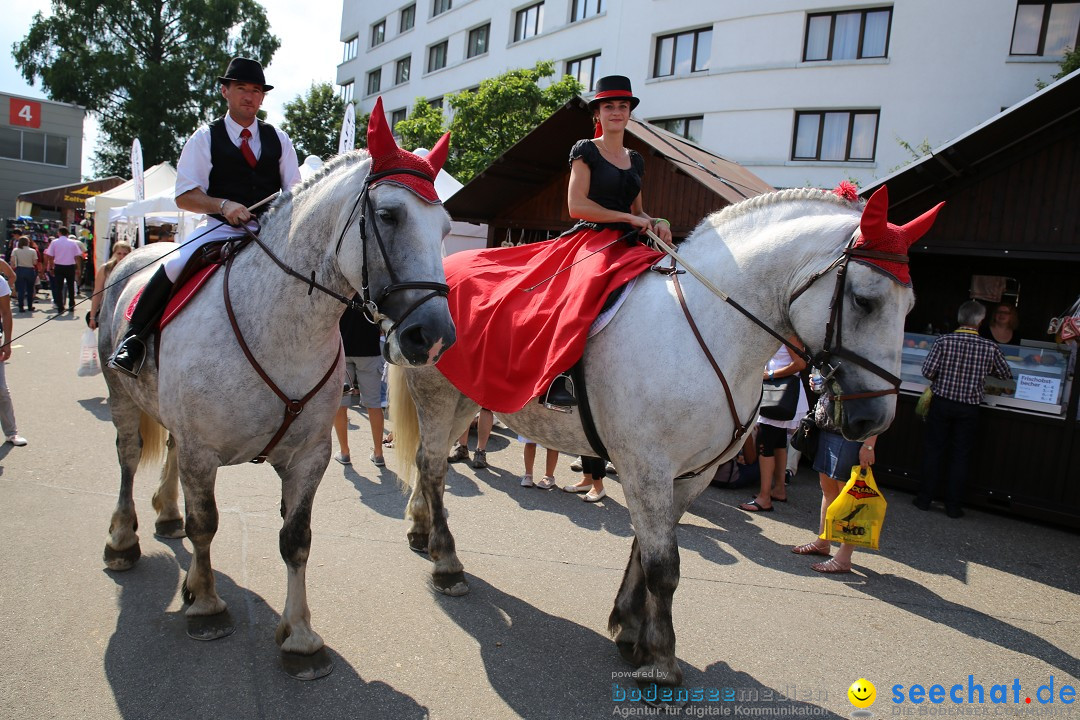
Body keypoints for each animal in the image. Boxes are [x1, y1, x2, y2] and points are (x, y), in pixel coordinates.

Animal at [95, 98, 457, 677]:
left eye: (446, 227)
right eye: (388, 215)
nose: (435, 335)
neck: (281, 326)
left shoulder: (308, 457)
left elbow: (296, 540)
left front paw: (301, 636)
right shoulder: (203, 452)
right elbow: (206, 525)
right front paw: (207, 604)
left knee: (167, 455)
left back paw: (166, 515)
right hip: (122, 395)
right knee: (129, 457)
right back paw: (123, 540)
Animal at [393, 183, 941, 686]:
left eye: (910, 305)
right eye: (865, 301)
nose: (874, 421)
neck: (709, 330)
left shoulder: (689, 475)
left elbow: (647, 550)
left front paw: (629, 628)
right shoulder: (647, 467)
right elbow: (664, 564)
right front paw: (660, 657)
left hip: (467, 401)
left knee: (427, 460)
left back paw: (421, 532)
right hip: (438, 395)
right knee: (434, 466)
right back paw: (447, 564)